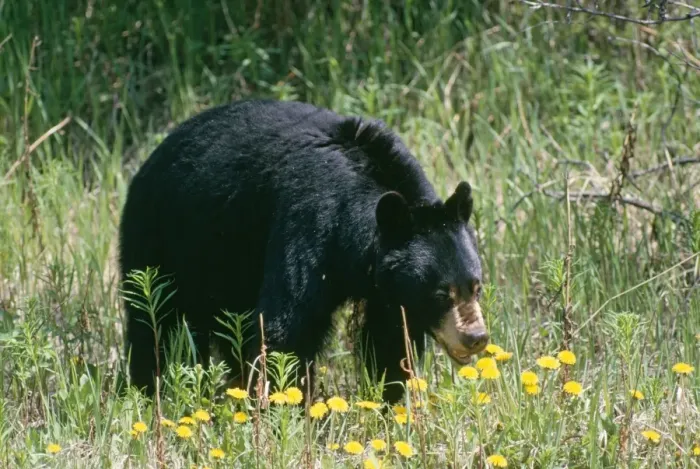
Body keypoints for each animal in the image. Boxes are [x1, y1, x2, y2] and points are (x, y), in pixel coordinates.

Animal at [118, 99, 488, 403]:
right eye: (441, 293)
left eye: (476, 287)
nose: (476, 337)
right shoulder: (311, 219)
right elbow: (288, 323)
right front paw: (284, 403)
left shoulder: (386, 287)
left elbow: (390, 338)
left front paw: (391, 403)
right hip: (162, 235)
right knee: (154, 320)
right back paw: (149, 390)